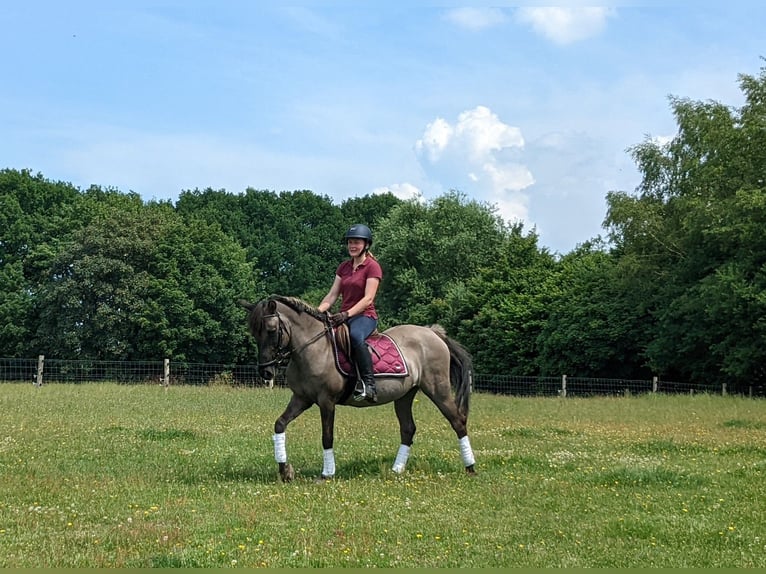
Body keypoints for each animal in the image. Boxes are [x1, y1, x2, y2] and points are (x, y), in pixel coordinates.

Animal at [237, 296, 476, 482]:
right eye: (254, 333)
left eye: (271, 330)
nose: (265, 372)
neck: (312, 348)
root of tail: (432, 333)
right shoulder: (301, 399)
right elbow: (279, 424)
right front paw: (285, 471)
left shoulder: (326, 401)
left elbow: (327, 437)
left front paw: (327, 474)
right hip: (405, 395)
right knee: (408, 429)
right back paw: (396, 470)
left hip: (438, 389)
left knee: (458, 421)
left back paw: (470, 468)